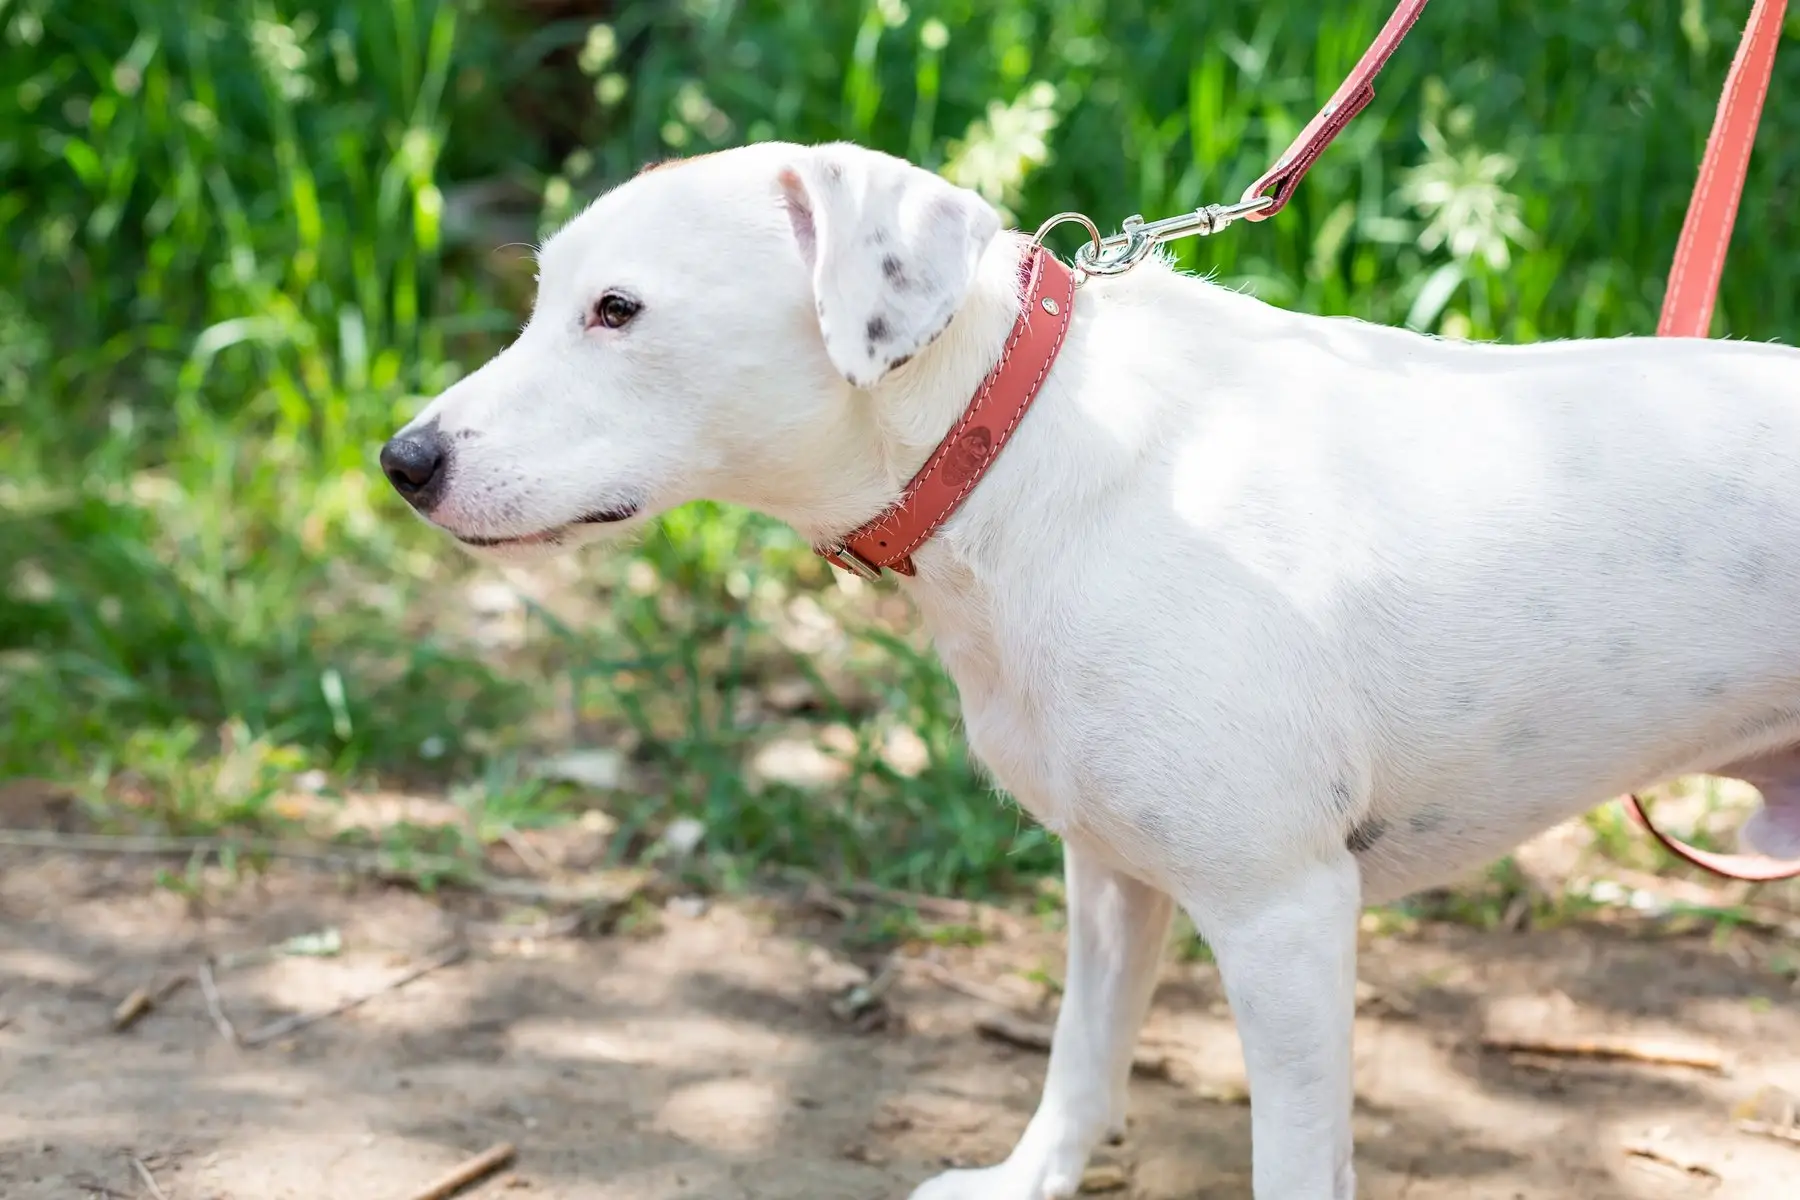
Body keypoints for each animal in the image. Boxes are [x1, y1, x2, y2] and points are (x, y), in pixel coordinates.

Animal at [379, 143, 1800, 1200]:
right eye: (545, 296)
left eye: (617, 311)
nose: (403, 460)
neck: (1011, 445)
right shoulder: (1112, 873)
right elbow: (1084, 1048)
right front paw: (1032, 1176)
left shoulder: (1286, 917)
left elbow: (1293, 1156)